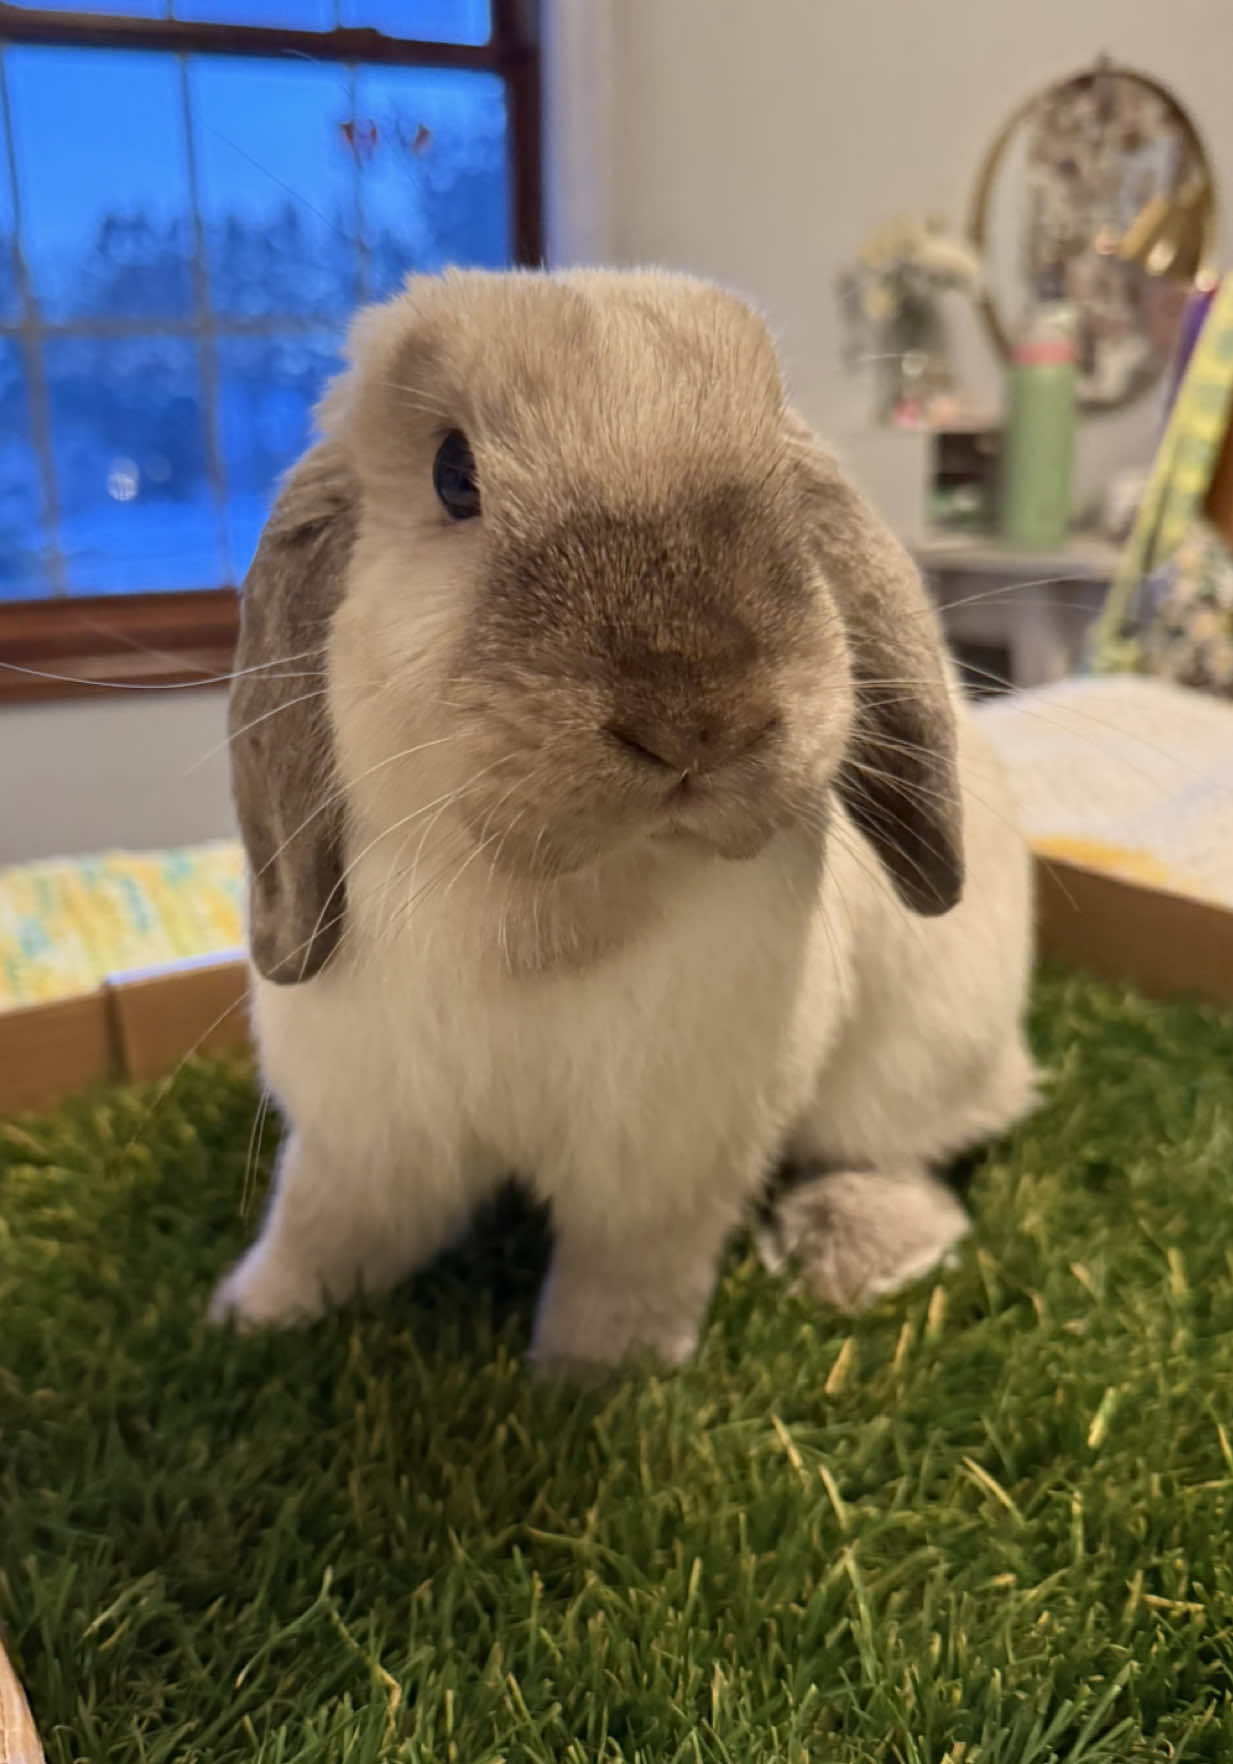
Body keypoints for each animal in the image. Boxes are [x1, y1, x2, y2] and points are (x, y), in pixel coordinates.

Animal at [209, 267, 1036, 1370]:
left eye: (784, 488)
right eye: (452, 475)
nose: (696, 719)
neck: (556, 910)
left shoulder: (663, 1156)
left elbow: (629, 1263)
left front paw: (596, 1374)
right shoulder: (370, 1133)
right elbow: (326, 1222)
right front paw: (256, 1315)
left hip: (914, 1062)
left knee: (909, 1159)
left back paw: (850, 1249)